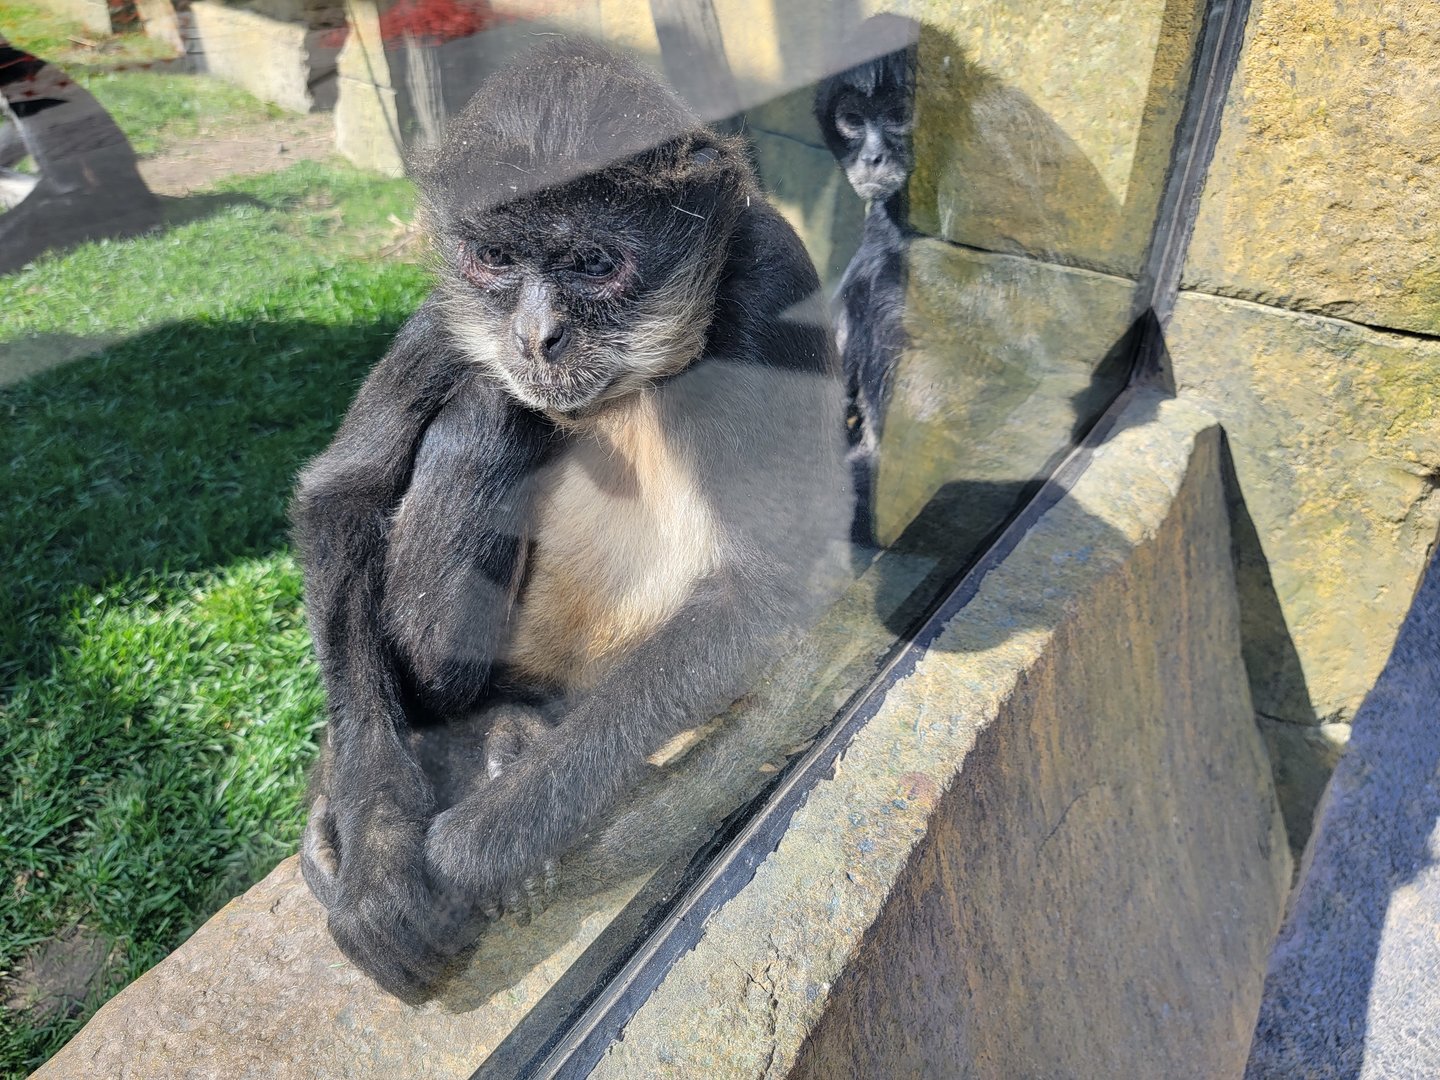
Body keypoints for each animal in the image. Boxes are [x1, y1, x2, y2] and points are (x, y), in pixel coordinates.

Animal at [290, 38, 850, 1003]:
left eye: (593, 264)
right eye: (494, 259)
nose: (536, 334)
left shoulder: (770, 270)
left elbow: (769, 593)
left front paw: (462, 863)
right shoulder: (457, 303)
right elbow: (342, 493)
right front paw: (381, 851)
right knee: (488, 404)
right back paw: (477, 729)